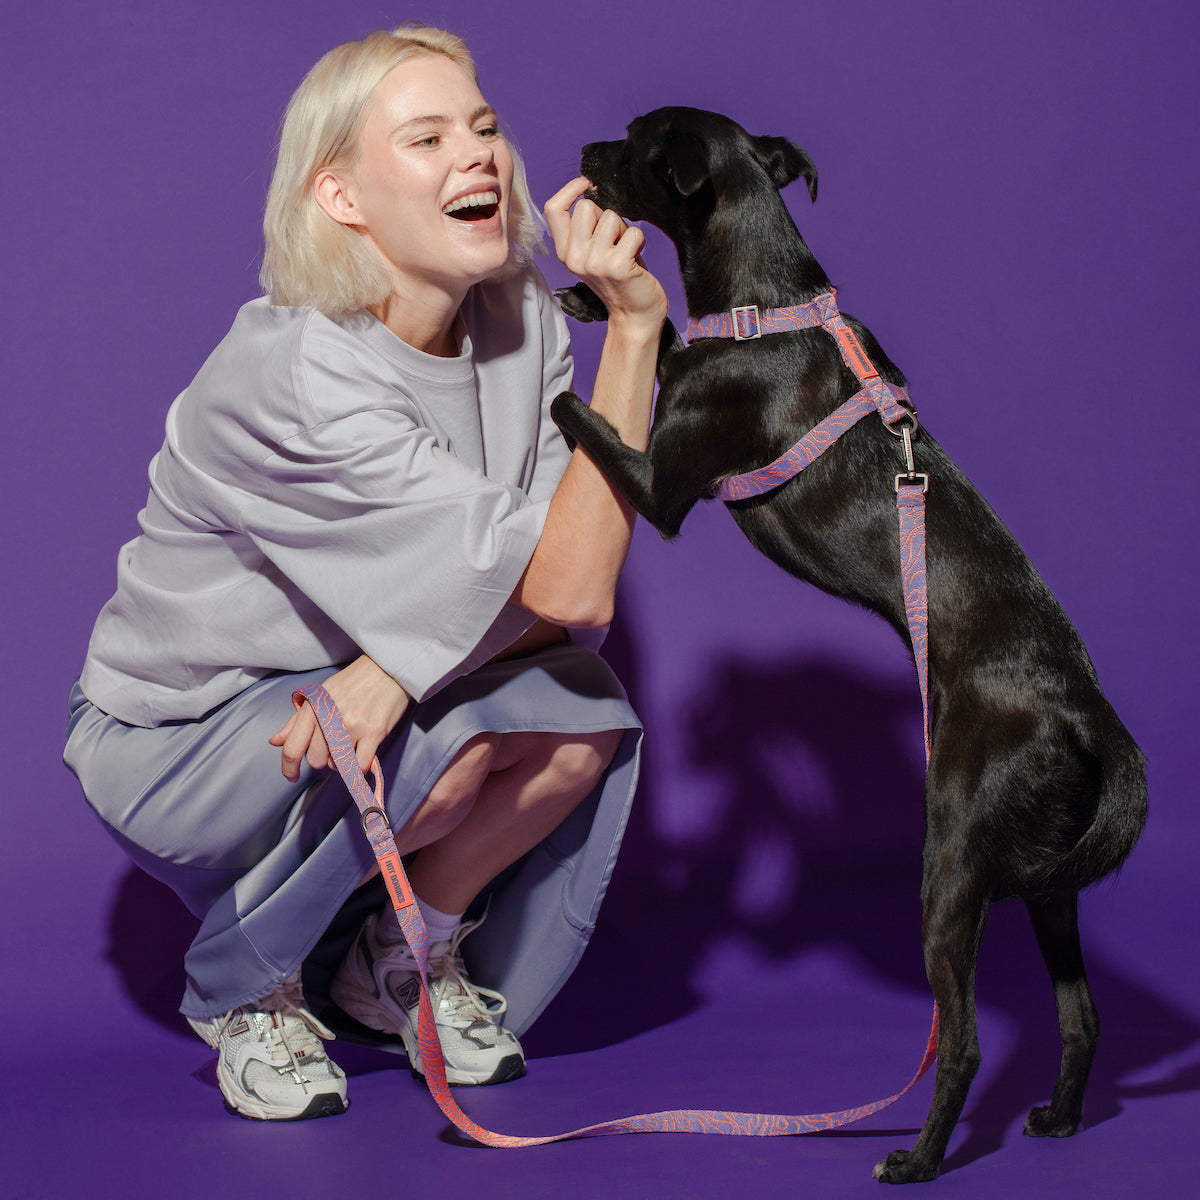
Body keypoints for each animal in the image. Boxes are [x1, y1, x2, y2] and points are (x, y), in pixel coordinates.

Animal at [549, 108, 1147, 1185]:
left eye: (630, 141)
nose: (580, 153)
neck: (767, 307)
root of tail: (1091, 715)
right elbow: (662, 335)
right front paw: (588, 295)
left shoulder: (661, 491)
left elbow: (589, 413)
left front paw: (565, 337)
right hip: (1050, 876)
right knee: (1080, 1013)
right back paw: (1060, 1118)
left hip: (953, 860)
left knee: (963, 1043)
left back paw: (918, 1160)